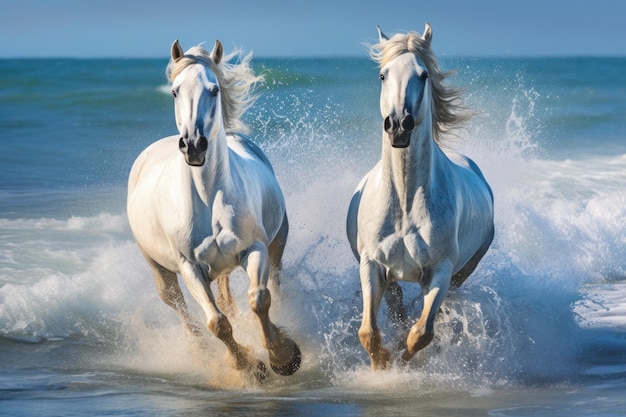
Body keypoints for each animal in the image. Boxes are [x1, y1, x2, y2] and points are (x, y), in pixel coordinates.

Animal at [126, 40, 300, 378]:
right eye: (175, 91)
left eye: (214, 89)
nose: (194, 146)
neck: (209, 199)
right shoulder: (189, 268)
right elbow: (217, 322)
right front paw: (249, 366)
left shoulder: (254, 248)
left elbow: (259, 300)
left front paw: (283, 357)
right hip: (160, 270)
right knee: (180, 307)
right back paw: (201, 352)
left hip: (277, 242)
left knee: (273, 283)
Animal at [346, 25, 492, 370]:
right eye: (383, 75)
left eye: (423, 75)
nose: (399, 125)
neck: (405, 202)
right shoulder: (372, 265)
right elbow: (368, 333)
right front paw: (381, 366)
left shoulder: (440, 271)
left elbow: (422, 333)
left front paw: (406, 361)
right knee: (397, 304)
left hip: (461, 273)